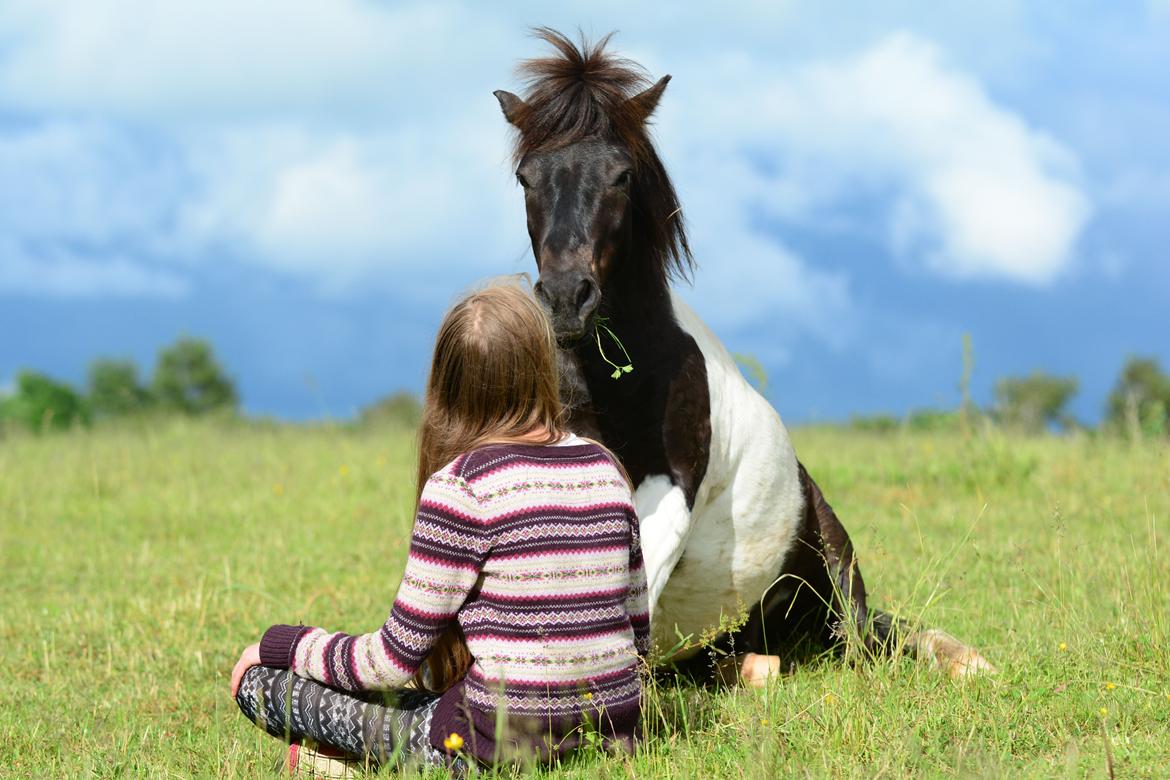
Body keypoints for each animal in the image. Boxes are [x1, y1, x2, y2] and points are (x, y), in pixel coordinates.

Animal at [489, 30, 992, 687]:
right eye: (525, 177)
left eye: (621, 175)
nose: (567, 298)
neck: (618, 381)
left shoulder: (671, 490)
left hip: (841, 606)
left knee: (871, 642)